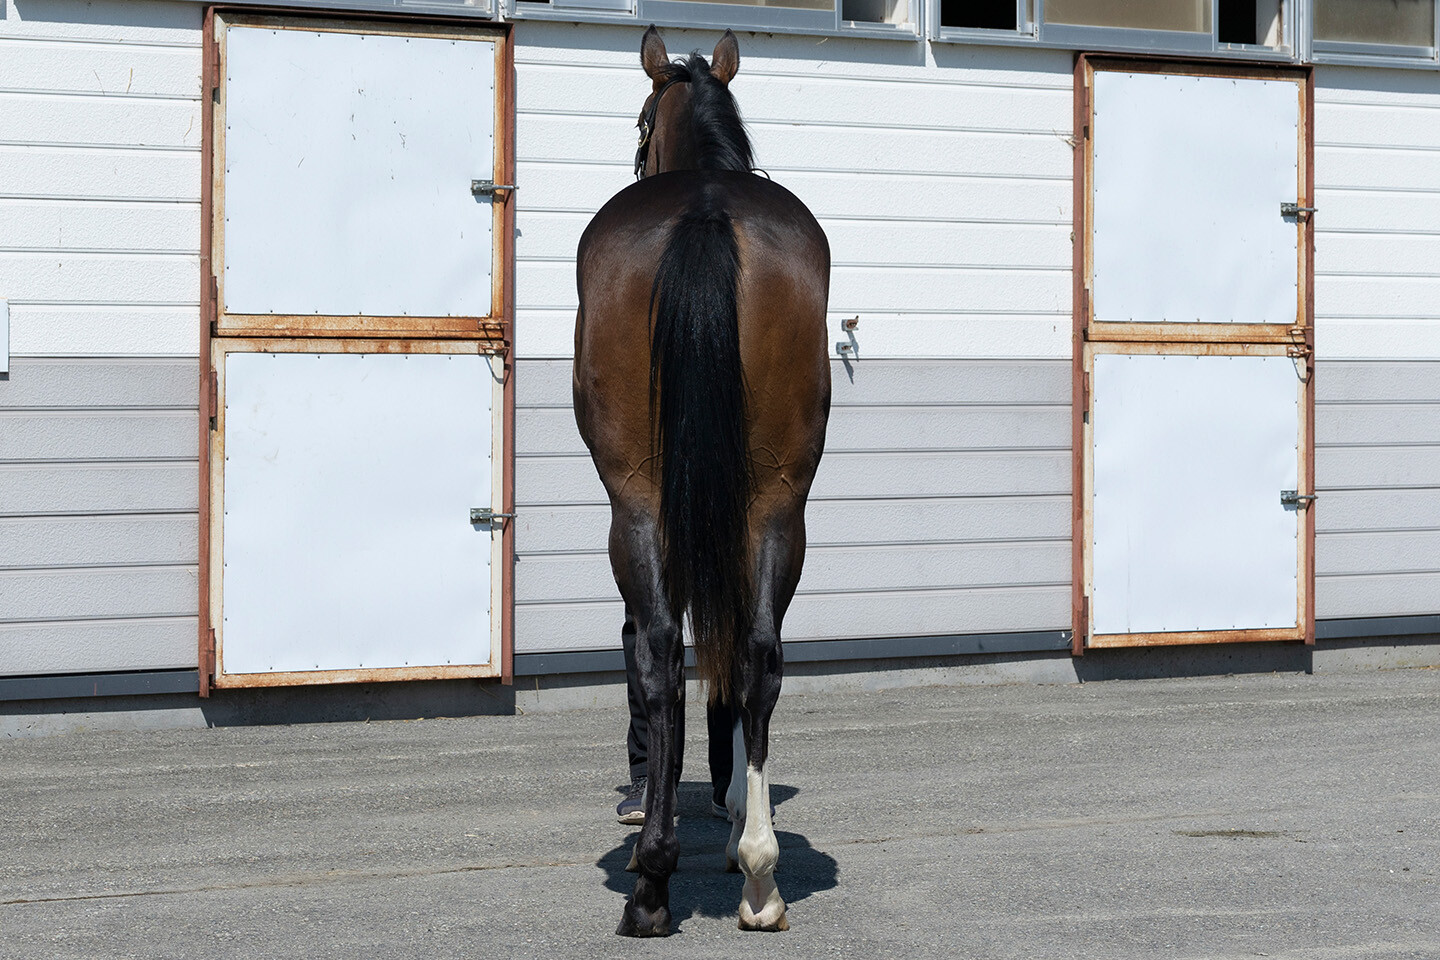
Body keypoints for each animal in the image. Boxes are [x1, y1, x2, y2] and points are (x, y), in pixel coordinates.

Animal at [573, 26, 831, 937]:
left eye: (641, 121)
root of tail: (708, 211)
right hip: (780, 500)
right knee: (758, 651)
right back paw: (759, 874)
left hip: (638, 503)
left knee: (656, 650)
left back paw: (652, 883)